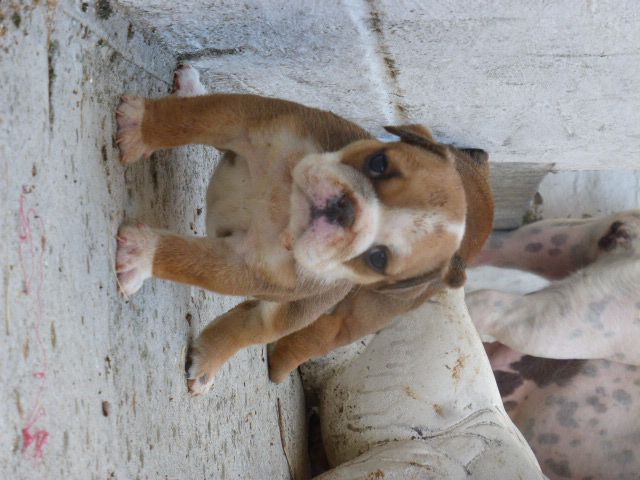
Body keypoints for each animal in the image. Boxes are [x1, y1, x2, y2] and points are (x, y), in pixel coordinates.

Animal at [115, 64, 494, 395]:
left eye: (378, 258)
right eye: (379, 163)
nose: (345, 209)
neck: (285, 206)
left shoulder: (243, 266)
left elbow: (188, 262)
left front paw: (141, 255)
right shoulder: (245, 119)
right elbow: (187, 119)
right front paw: (141, 126)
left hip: (318, 315)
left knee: (256, 329)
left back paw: (211, 361)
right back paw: (191, 89)